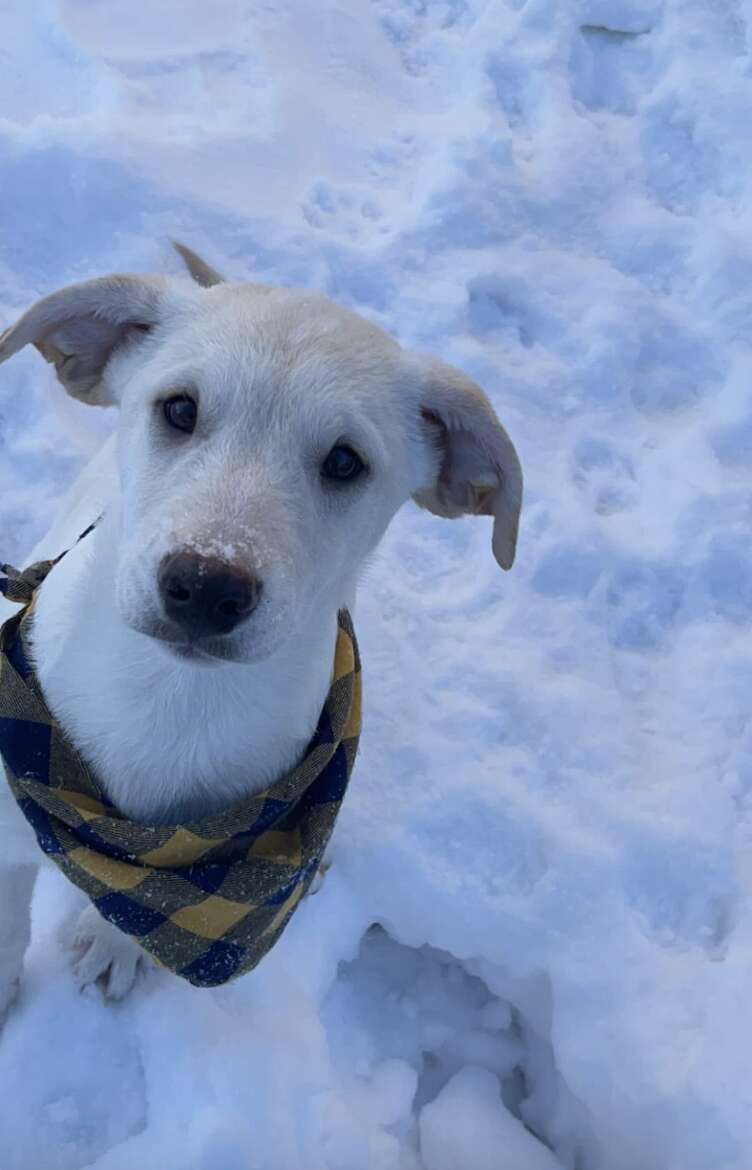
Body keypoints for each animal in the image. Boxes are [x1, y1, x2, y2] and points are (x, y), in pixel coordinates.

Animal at [0, 246, 523, 1006]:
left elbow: (136, 915)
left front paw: (112, 942)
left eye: (345, 461)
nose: (207, 585)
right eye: (179, 408)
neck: (174, 705)